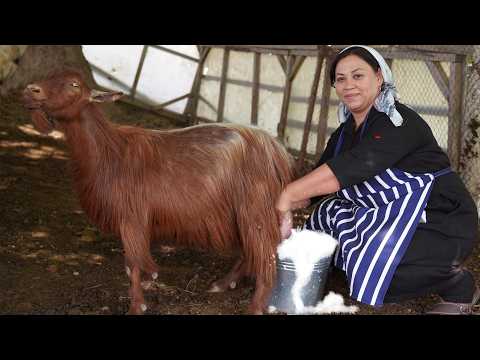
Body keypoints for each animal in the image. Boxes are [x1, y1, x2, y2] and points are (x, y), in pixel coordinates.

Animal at [22, 69, 296, 314]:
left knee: (265, 254)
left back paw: (255, 306)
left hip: (254, 206)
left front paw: (137, 305)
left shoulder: (131, 217)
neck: (111, 152)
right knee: (251, 251)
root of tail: (277, 151)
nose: (31, 90)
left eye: (74, 85)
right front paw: (148, 283)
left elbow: (132, 263)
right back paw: (223, 284)